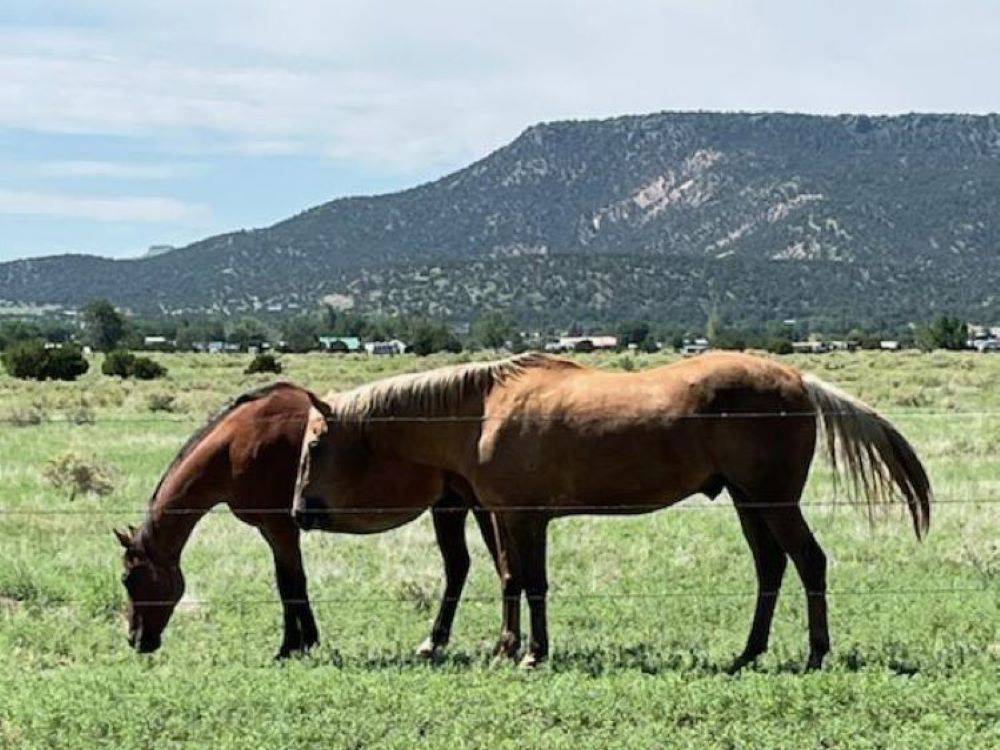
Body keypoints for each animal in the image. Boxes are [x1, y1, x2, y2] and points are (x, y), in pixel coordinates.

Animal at [115, 384, 498, 660]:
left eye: (130, 579)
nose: (136, 640)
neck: (238, 444)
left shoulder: (280, 528)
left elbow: (292, 584)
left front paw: (295, 645)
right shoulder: (271, 531)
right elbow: (287, 583)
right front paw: (298, 642)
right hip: (452, 506)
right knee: (462, 566)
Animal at [292, 352, 932, 676]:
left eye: (316, 445)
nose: (298, 511)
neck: (482, 410)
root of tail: (798, 379)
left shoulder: (524, 517)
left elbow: (532, 582)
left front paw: (532, 652)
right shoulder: (505, 514)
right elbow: (513, 579)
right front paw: (507, 647)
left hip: (773, 500)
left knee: (809, 562)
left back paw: (816, 653)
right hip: (748, 501)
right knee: (771, 568)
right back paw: (748, 653)